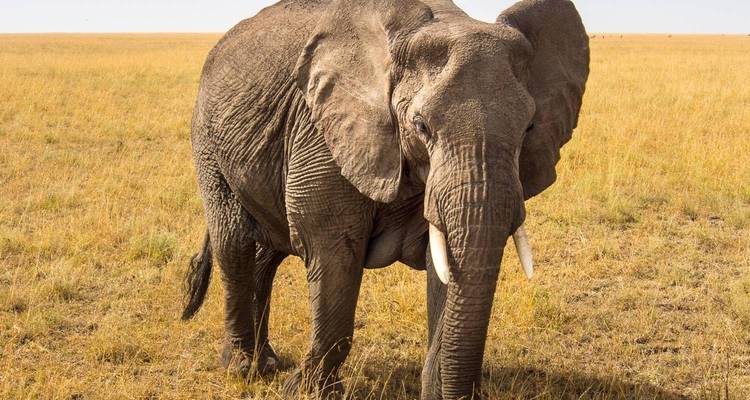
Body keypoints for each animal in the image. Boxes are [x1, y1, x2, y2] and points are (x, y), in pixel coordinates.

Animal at [180, 0, 589, 399]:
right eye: (421, 126)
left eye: (529, 128)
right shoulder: (323, 135)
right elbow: (335, 255)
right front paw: (307, 391)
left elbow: (444, 268)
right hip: (207, 136)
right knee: (234, 242)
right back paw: (243, 368)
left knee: (268, 252)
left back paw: (266, 362)